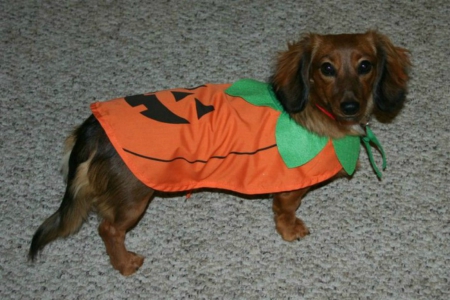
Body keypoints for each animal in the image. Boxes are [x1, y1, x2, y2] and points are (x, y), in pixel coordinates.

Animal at [29, 31, 412, 276]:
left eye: (365, 66)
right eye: (326, 68)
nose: (350, 106)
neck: (315, 110)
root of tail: (93, 125)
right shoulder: (289, 189)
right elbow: (286, 211)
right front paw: (290, 231)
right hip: (133, 198)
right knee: (108, 229)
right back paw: (125, 264)